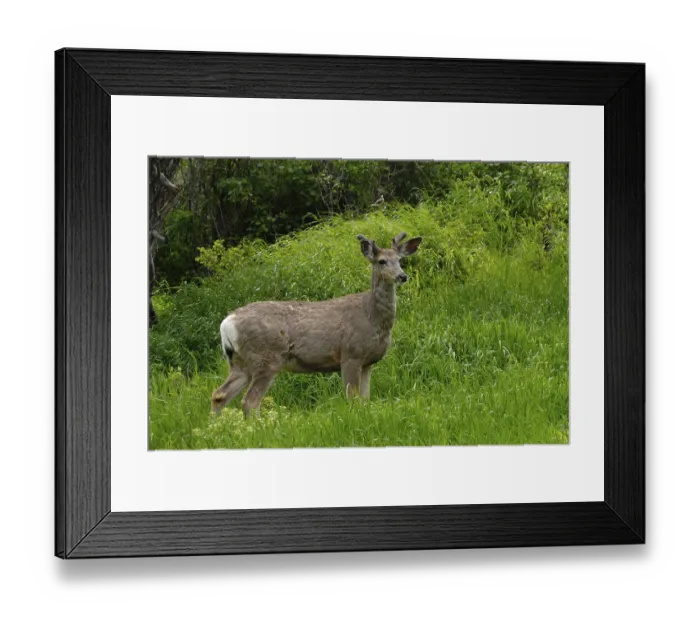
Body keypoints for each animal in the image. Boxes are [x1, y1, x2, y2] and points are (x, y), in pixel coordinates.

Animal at [210, 232, 422, 418]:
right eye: (381, 261)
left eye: (400, 260)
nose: (402, 276)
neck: (371, 317)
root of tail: (227, 322)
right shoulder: (350, 355)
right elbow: (353, 400)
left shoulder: (368, 361)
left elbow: (365, 400)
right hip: (266, 358)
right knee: (250, 401)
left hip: (240, 362)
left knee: (219, 395)